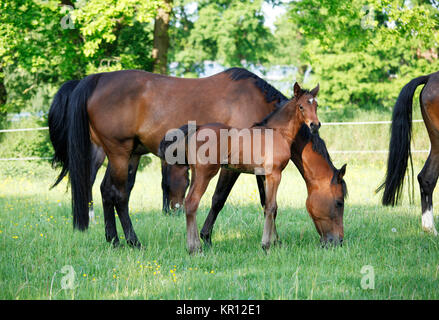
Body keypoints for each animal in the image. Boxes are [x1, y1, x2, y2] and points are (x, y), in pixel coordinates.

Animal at [159, 84, 324, 254]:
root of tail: (197, 128)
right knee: (192, 202)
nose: (315, 125)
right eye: (301, 106)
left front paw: (273, 242)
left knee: (188, 202)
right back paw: (195, 248)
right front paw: (266, 245)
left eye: (316, 105)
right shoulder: (275, 174)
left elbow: (268, 206)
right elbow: (271, 207)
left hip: (196, 173)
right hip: (206, 173)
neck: (278, 133)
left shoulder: (264, 175)